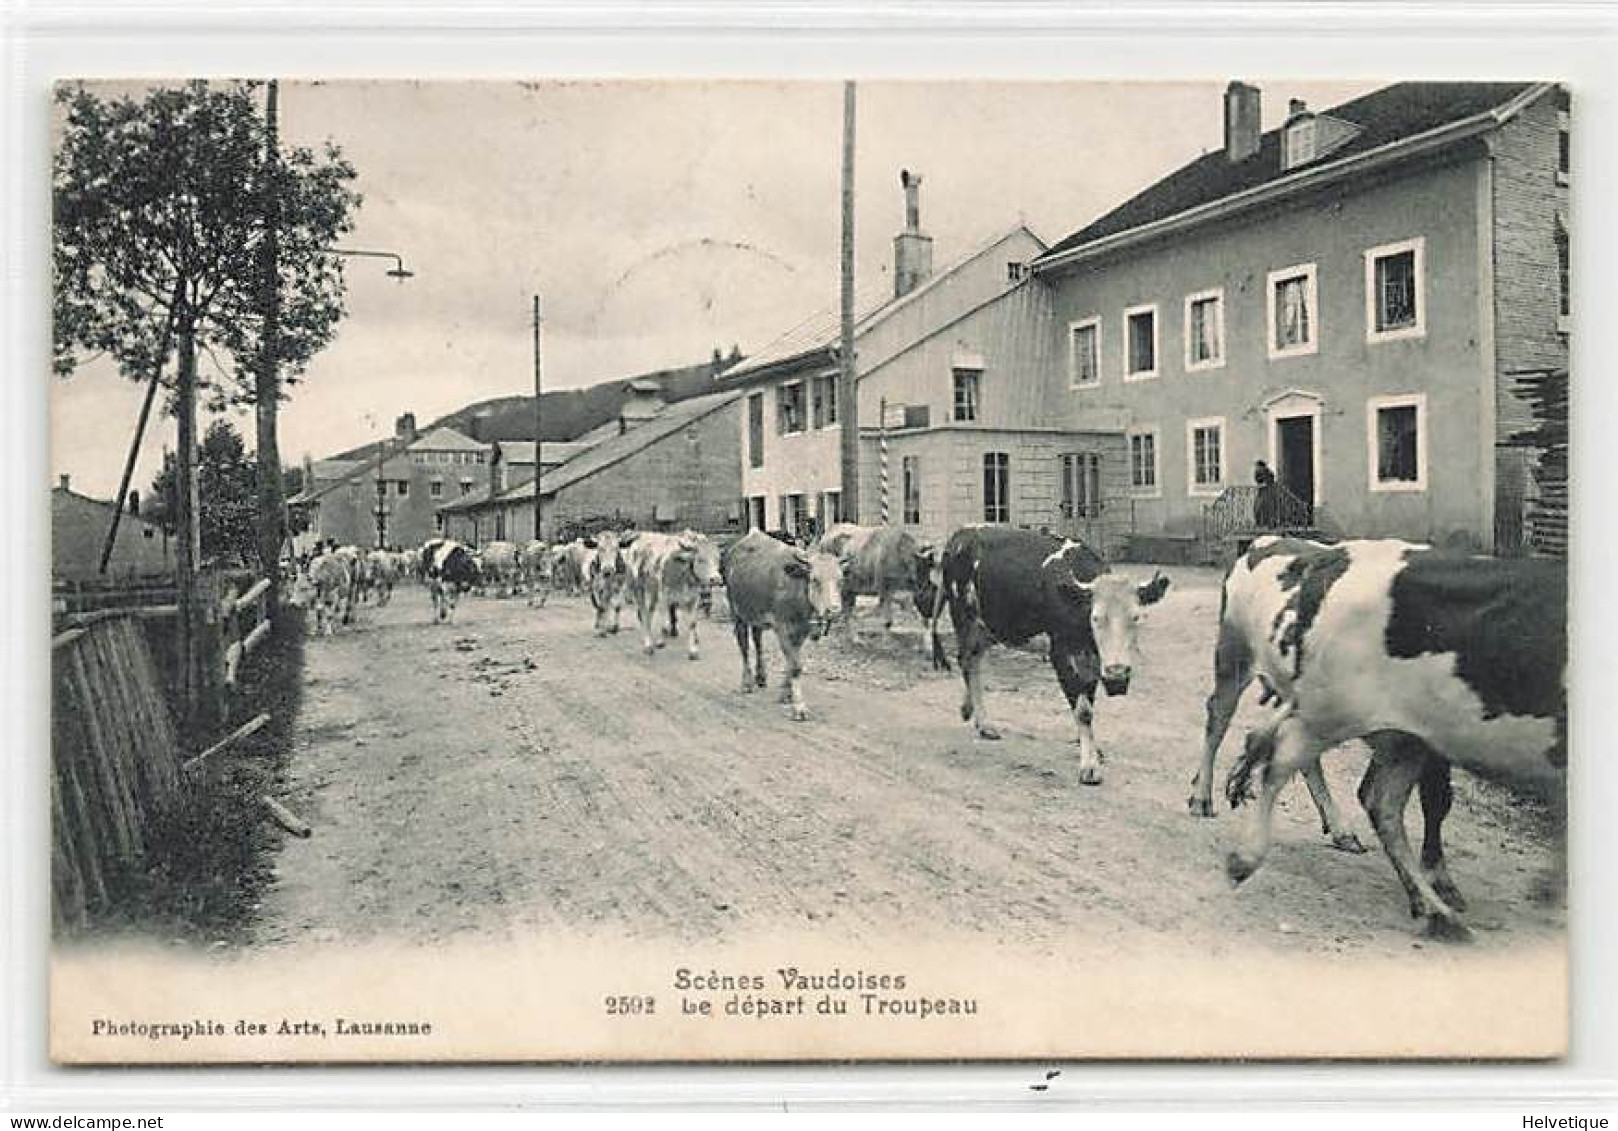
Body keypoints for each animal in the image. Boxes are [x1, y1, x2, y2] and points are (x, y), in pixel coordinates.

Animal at [724, 527, 847, 721]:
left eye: (840, 580)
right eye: (815, 580)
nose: (833, 610)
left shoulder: (802, 630)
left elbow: (791, 662)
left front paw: (786, 694)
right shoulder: (783, 628)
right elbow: (795, 666)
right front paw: (799, 707)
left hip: (756, 615)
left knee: (757, 640)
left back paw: (761, 676)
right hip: (737, 612)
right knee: (743, 644)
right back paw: (747, 682)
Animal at [938, 527, 1164, 786]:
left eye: (1136, 617)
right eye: (1096, 618)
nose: (1117, 672)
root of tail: (962, 533)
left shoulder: (1092, 662)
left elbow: (1089, 704)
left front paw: (1091, 750)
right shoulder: (1061, 654)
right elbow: (1084, 711)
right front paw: (1089, 767)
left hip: (987, 626)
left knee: (974, 661)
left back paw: (971, 712)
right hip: (963, 617)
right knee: (966, 661)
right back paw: (984, 722)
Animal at [1223, 537, 1566, 938]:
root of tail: (1337, 554)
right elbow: (1437, 801)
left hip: (1398, 733)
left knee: (1374, 798)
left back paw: (1435, 910)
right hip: (1326, 706)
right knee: (1279, 755)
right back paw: (1243, 855)